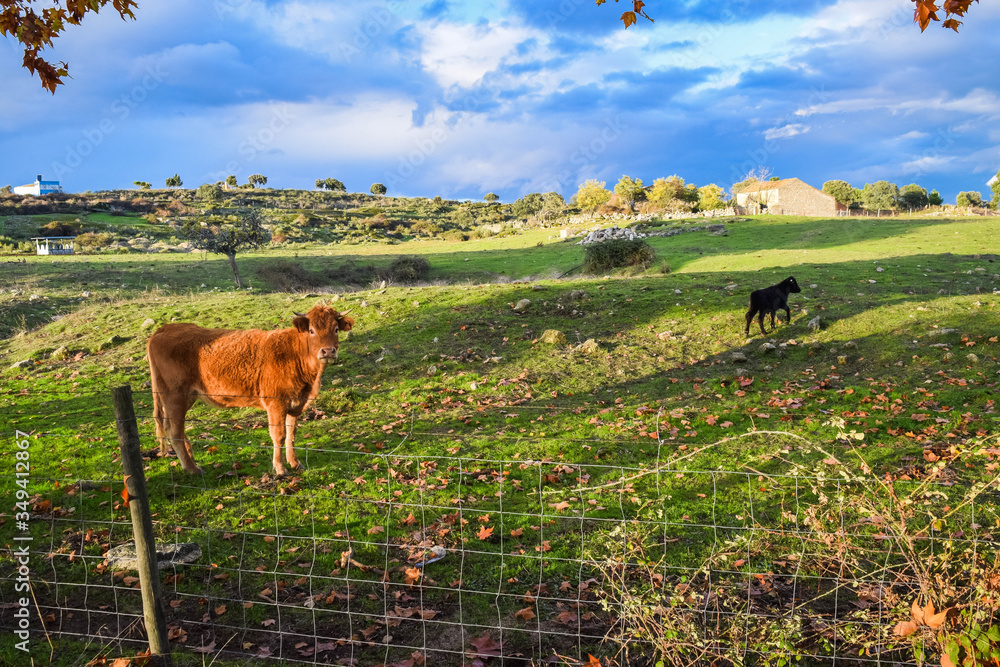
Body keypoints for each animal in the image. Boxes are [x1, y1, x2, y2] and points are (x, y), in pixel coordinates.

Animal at [146, 302, 354, 474]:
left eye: (336, 329)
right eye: (311, 330)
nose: (328, 351)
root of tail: (164, 329)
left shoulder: (295, 404)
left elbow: (291, 434)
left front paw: (295, 463)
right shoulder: (276, 404)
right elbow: (278, 435)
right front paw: (280, 468)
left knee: (174, 429)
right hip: (174, 396)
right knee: (174, 431)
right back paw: (192, 468)